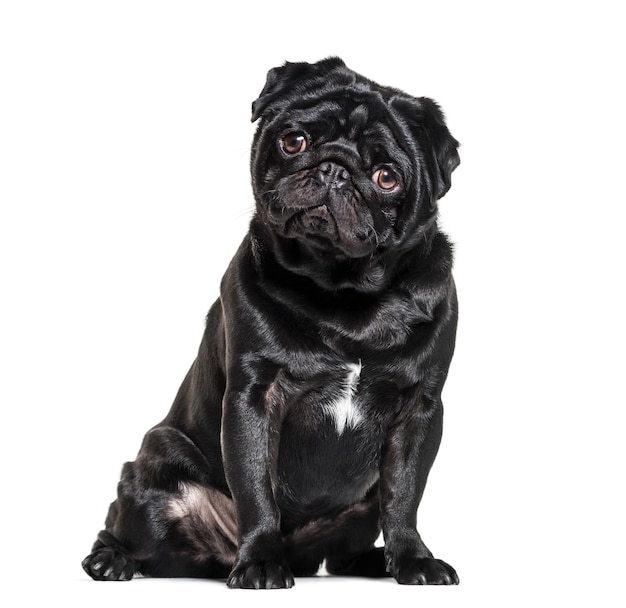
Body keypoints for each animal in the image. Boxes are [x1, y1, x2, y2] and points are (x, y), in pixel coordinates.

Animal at [81, 58, 458, 588]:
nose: (334, 168)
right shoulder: (253, 398)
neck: (344, 293)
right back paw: (113, 559)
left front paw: (413, 559)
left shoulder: (419, 408)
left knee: (349, 546)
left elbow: (404, 494)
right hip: (154, 468)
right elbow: (255, 487)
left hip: (358, 513)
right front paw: (260, 560)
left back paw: (373, 561)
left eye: (387, 177)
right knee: (127, 528)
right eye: (294, 141)